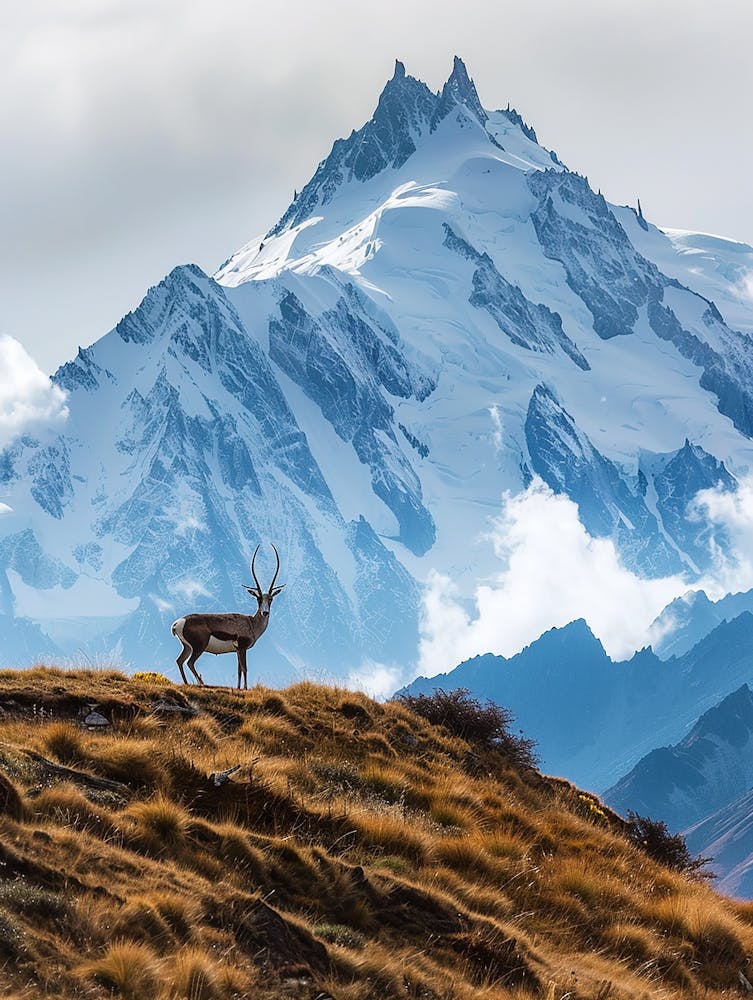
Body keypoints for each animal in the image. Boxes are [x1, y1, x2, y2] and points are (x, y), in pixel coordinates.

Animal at [171, 544, 285, 690]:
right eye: (259, 599)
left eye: (270, 599)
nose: (265, 613)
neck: (251, 623)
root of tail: (179, 622)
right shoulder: (242, 648)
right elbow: (245, 668)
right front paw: (245, 689)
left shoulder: (237, 650)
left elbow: (239, 670)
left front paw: (238, 688)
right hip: (199, 647)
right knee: (190, 662)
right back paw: (202, 683)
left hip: (187, 647)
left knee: (180, 661)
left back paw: (186, 683)